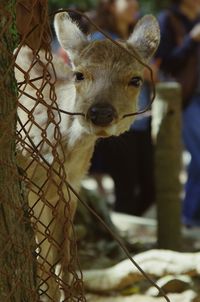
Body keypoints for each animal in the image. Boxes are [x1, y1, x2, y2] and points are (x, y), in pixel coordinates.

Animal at [14, 11, 160, 302]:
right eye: (79, 74)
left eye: (135, 79)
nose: (100, 113)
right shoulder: (33, 185)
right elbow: (45, 261)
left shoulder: (72, 187)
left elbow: (67, 260)